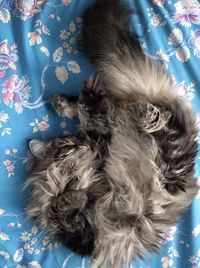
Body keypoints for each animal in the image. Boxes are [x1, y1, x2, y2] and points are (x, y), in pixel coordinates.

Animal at [25, 0, 198, 268]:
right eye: (67, 145)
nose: (81, 146)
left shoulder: (101, 141)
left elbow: (91, 118)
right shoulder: (85, 236)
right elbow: (60, 211)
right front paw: (71, 197)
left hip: (168, 164)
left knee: (166, 123)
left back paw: (139, 112)